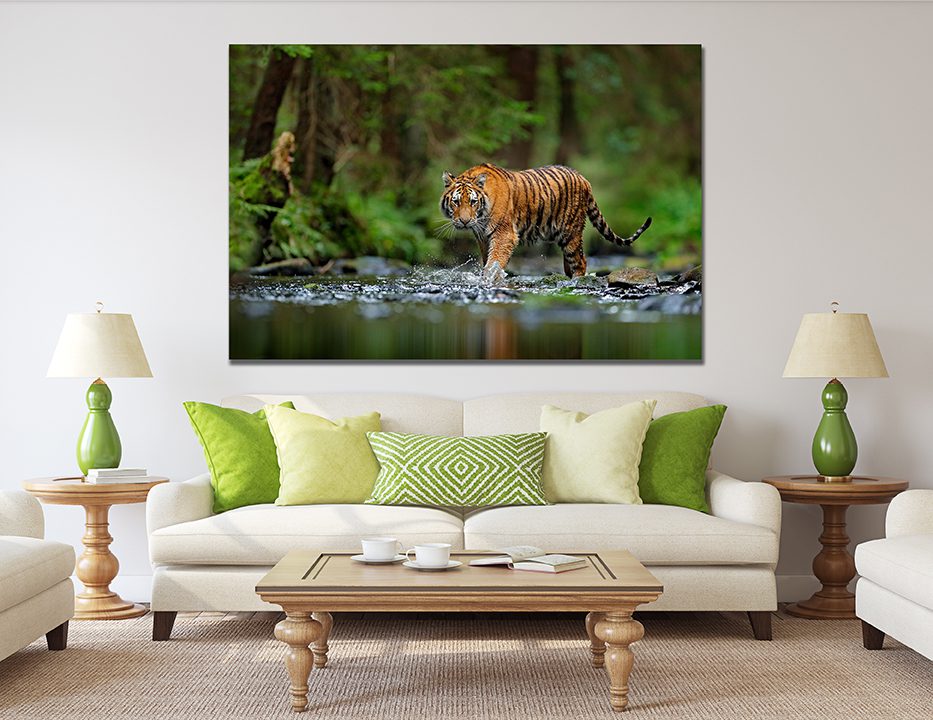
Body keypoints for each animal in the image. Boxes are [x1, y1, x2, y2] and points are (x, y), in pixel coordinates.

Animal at [440, 163, 652, 283]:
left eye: (473, 202)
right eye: (456, 201)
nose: (465, 221)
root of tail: (583, 178)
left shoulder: (504, 234)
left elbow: (495, 260)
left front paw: (490, 278)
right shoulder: (483, 237)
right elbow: (488, 259)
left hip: (570, 233)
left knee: (581, 262)